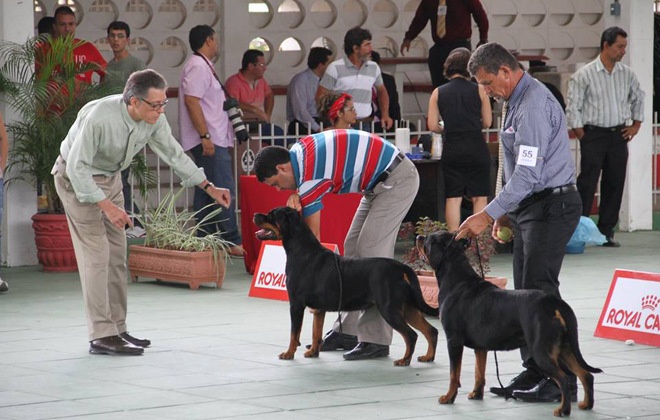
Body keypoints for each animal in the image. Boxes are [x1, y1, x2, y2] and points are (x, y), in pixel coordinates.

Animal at [255, 208, 440, 366]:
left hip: (390, 308)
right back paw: (428, 357)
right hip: (408, 307)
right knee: (431, 331)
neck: (301, 251)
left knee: (411, 335)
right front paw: (313, 352)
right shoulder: (319, 309)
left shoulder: (296, 304)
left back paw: (404, 360)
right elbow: (316, 332)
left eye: (272, 215)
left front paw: (288, 353)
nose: (256, 215)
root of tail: (401, 267)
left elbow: (294, 333)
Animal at [420, 233, 600, 416]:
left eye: (429, 240)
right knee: (585, 374)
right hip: (564, 347)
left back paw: (563, 409)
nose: (419, 236)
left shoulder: (454, 341)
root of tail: (554, 303)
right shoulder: (481, 346)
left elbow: (454, 374)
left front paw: (448, 397)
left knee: (563, 378)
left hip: (541, 350)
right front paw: (476, 394)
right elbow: (479, 372)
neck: (456, 279)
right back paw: (587, 404)